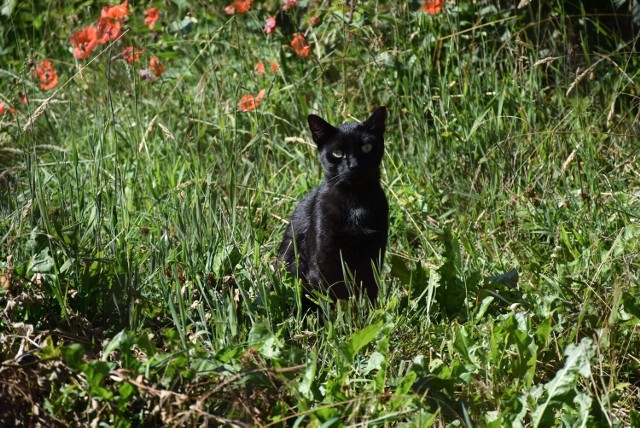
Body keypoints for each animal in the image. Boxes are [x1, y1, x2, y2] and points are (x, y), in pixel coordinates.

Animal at [278, 107, 388, 308]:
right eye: (337, 153)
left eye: (366, 147)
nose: (353, 165)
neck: (355, 202)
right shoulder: (324, 257)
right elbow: (331, 295)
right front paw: (336, 316)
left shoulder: (374, 253)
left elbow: (369, 290)